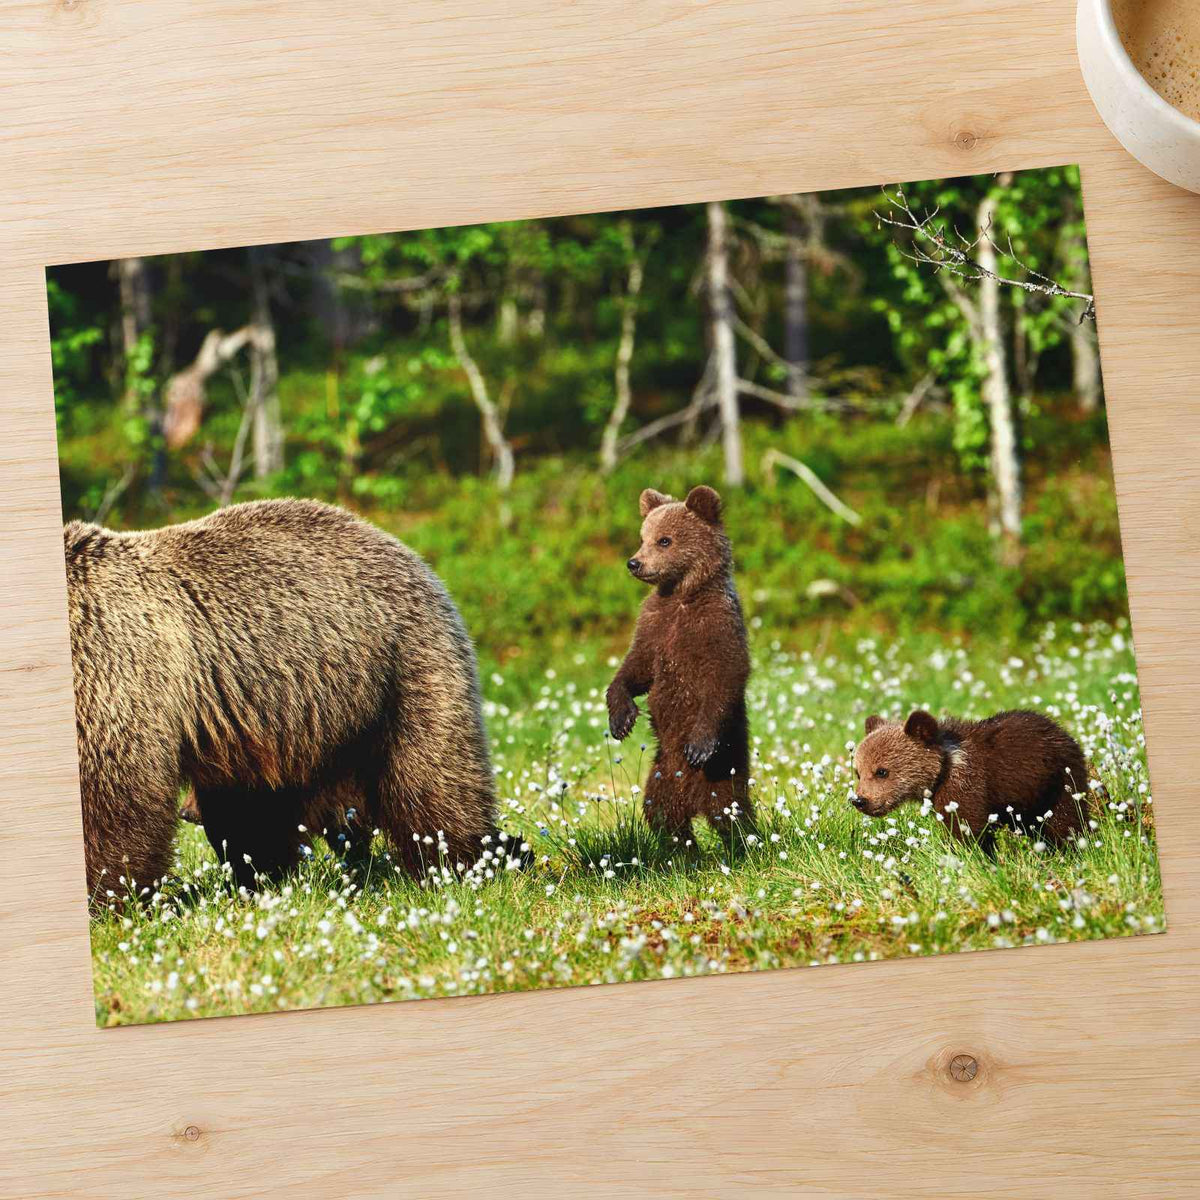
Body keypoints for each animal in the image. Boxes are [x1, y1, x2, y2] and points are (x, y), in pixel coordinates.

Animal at [65, 498, 503, 904]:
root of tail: (410, 554)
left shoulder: (113, 665)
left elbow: (115, 796)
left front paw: (108, 898)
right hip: (280, 720)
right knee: (254, 813)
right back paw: (261, 881)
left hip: (403, 667)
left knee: (430, 782)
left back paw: (464, 863)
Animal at [606, 485, 753, 846]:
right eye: (642, 536)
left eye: (665, 540)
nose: (634, 563)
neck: (683, 594)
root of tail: (693, 800)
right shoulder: (655, 626)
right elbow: (636, 668)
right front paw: (621, 719)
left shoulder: (716, 626)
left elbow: (726, 676)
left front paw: (699, 745)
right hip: (660, 775)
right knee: (662, 815)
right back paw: (684, 850)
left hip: (723, 771)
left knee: (731, 814)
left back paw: (744, 846)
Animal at [851, 709, 1091, 844]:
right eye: (858, 772)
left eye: (881, 771)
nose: (860, 800)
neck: (943, 771)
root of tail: (1061, 730)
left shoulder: (965, 789)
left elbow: (967, 828)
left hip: (1060, 781)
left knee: (1067, 819)